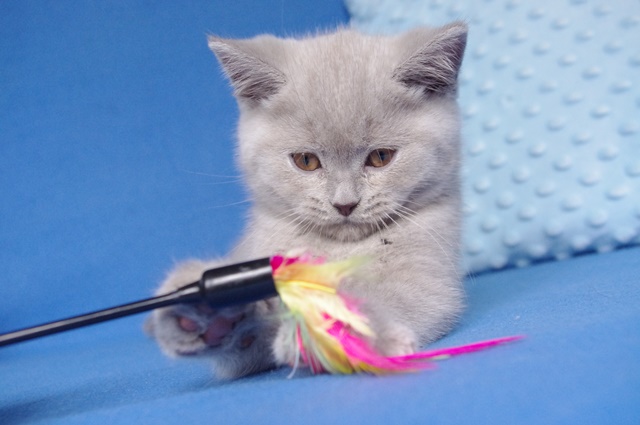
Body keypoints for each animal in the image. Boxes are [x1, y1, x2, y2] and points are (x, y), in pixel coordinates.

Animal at [147, 22, 468, 379]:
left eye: (381, 157)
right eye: (306, 161)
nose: (345, 204)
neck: (341, 249)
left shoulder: (431, 282)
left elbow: (391, 297)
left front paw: (339, 325)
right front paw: (214, 316)